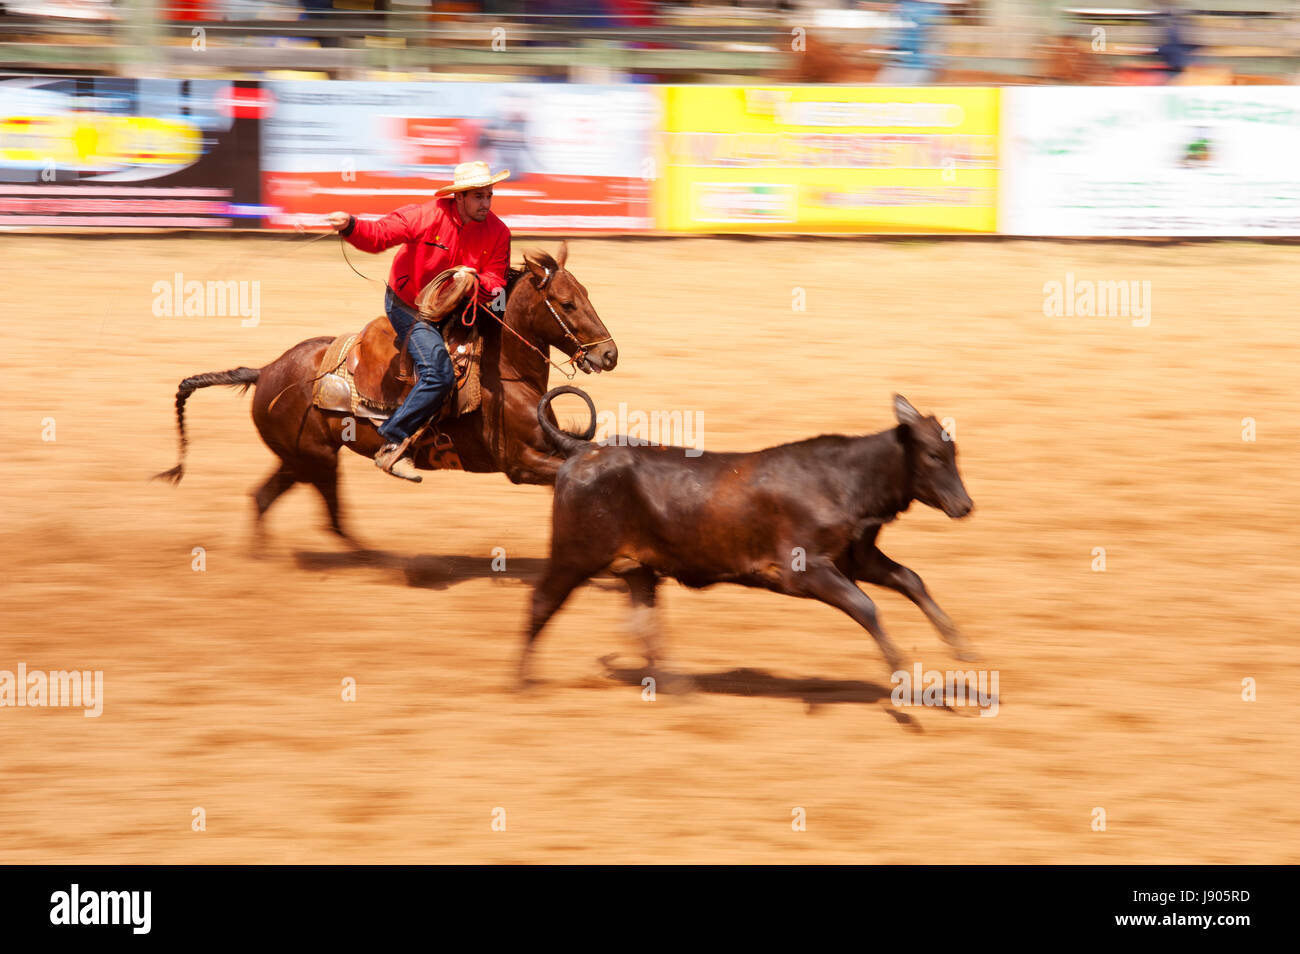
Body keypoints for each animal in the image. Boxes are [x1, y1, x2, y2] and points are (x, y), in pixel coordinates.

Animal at [156, 243, 613, 548]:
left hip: (298, 459)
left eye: (588, 294)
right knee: (332, 521)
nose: (609, 354)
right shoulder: (519, 462)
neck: (503, 373)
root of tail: (267, 370)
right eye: (567, 303)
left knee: (263, 498)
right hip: (317, 461)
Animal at [517, 389, 977, 686]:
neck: (845, 481)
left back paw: (677, 690)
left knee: (644, 623)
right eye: (934, 455)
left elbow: (910, 580)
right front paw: (902, 674)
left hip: (639, 569)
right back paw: (523, 683)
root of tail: (581, 451)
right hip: (575, 555)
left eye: (954, 453)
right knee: (542, 602)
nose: (965, 505)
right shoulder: (807, 570)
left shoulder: (856, 560)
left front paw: (962, 649)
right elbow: (866, 607)